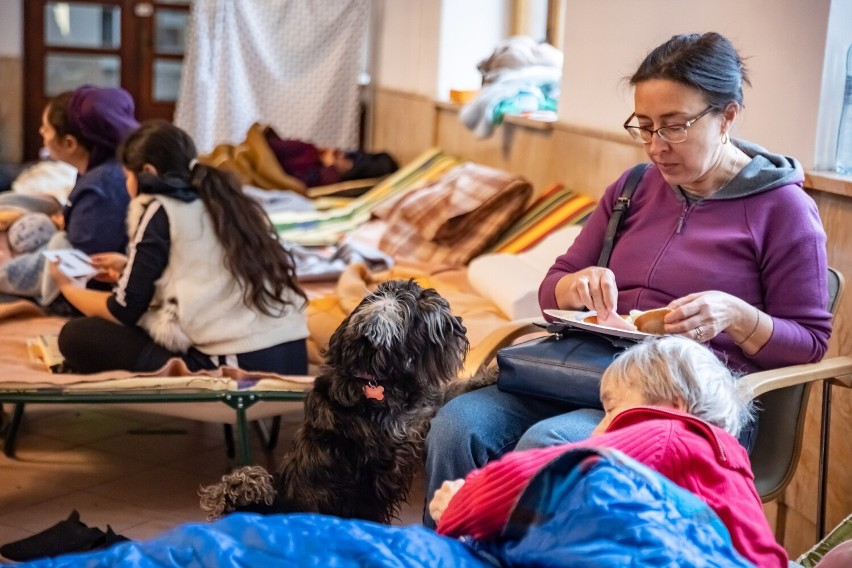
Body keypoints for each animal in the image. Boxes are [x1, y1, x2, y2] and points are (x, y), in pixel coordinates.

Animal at [197, 280, 470, 524]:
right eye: (421, 314)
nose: (459, 326)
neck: (370, 378)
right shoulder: (401, 440)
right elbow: (431, 409)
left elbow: (443, 393)